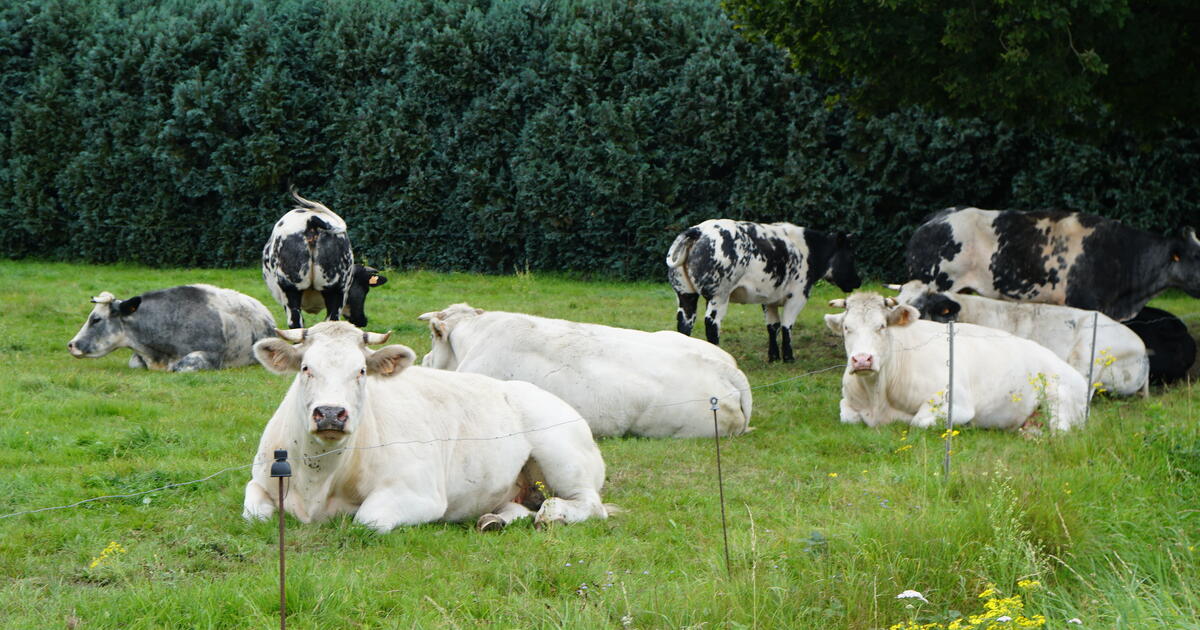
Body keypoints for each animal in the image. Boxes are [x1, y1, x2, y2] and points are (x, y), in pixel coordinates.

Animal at [242, 321, 609, 533]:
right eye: (306, 367)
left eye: (361, 371)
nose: (331, 413)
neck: (316, 480)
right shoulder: (258, 482)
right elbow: (255, 513)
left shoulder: (420, 493)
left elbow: (367, 520)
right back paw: (494, 519)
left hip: (562, 456)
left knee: (590, 505)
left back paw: (552, 513)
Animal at [666, 219, 862, 362]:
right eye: (852, 256)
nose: (858, 281)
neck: (808, 249)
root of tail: (699, 230)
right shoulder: (798, 296)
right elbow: (787, 325)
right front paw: (789, 357)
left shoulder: (769, 299)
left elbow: (772, 326)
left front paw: (774, 357)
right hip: (719, 295)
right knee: (712, 324)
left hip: (685, 295)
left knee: (684, 324)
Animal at [824, 292, 1089, 431]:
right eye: (846, 328)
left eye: (881, 326)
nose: (862, 360)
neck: (877, 394)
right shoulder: (848, 402)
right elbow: (847, 416)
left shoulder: (955, 403)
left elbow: (917, 421)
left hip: (1059, 402)